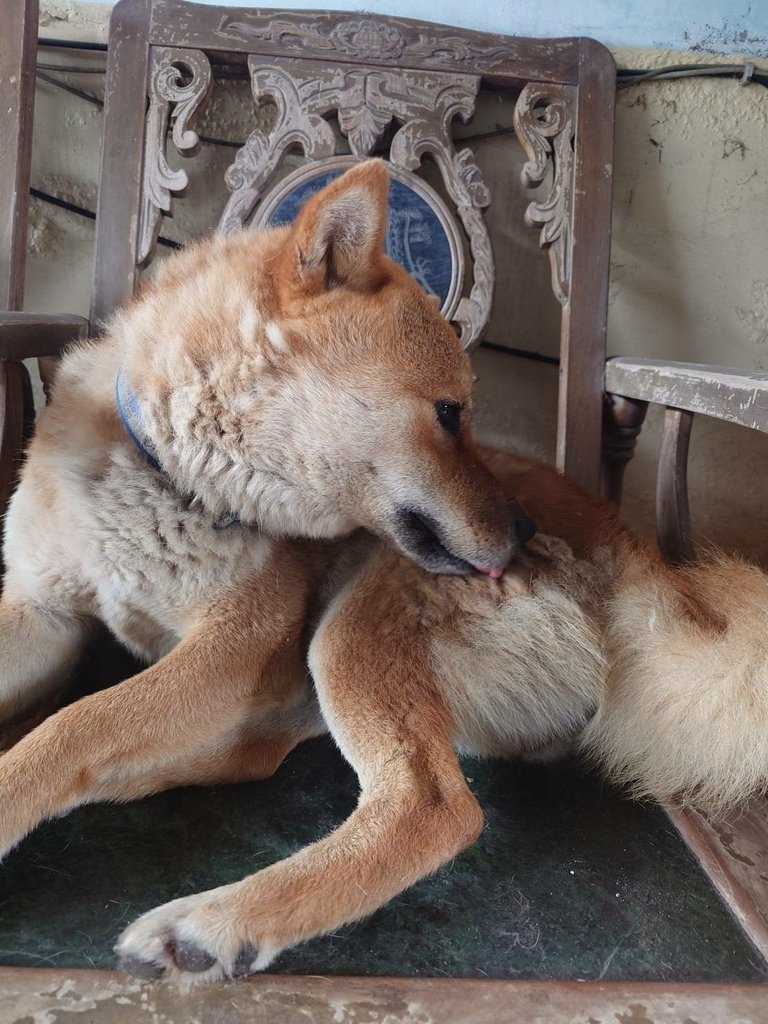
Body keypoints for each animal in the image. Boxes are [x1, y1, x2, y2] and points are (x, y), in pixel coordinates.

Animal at [1, 161, 768, 983]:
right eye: (449, 412)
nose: (525, 532)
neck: (172, 476)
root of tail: (632, 552)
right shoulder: (41, 614)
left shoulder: (231, 647)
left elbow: (74, 725)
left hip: (349, 629)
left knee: (431, 807)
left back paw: (210, 925)